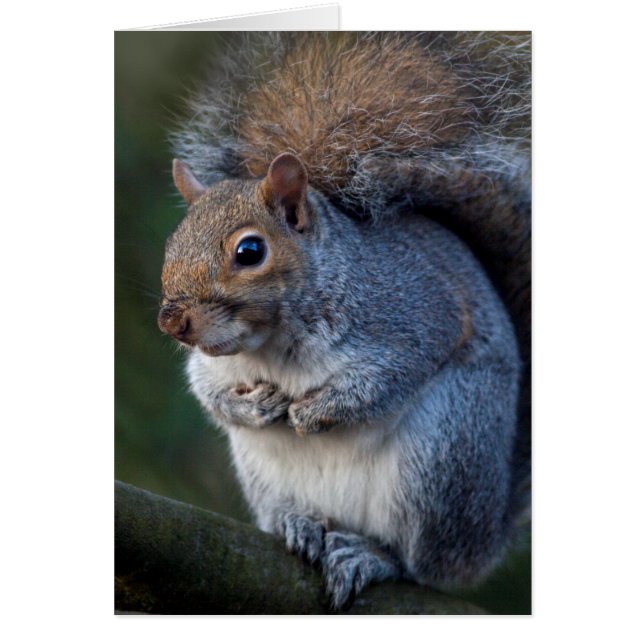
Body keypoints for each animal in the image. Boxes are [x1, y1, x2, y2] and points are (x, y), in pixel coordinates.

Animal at [157, 32, 531, 610]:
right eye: (172, 242)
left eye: (249, 251)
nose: (173, 323)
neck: (272, 345)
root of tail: (480, 543)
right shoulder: (212, 364)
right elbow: (206, 389)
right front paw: (252, 407)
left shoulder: (416, 314)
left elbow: (392, 374)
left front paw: (316, 412)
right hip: (264, 474)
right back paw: (300, 524)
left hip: (442, 454)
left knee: (417, 563)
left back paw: (373, 556)